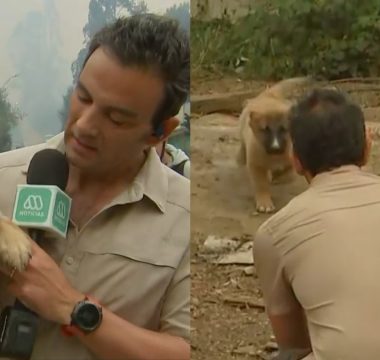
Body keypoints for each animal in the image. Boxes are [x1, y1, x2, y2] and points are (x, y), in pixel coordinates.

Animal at [238, 76, 314, 211]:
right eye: (265, 130)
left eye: (283, 129)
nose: (276, 148)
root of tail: (268, 93)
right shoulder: (256, 164)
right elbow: (261, 184)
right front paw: (264, 203)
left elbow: (288, 173)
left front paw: (278, 176)